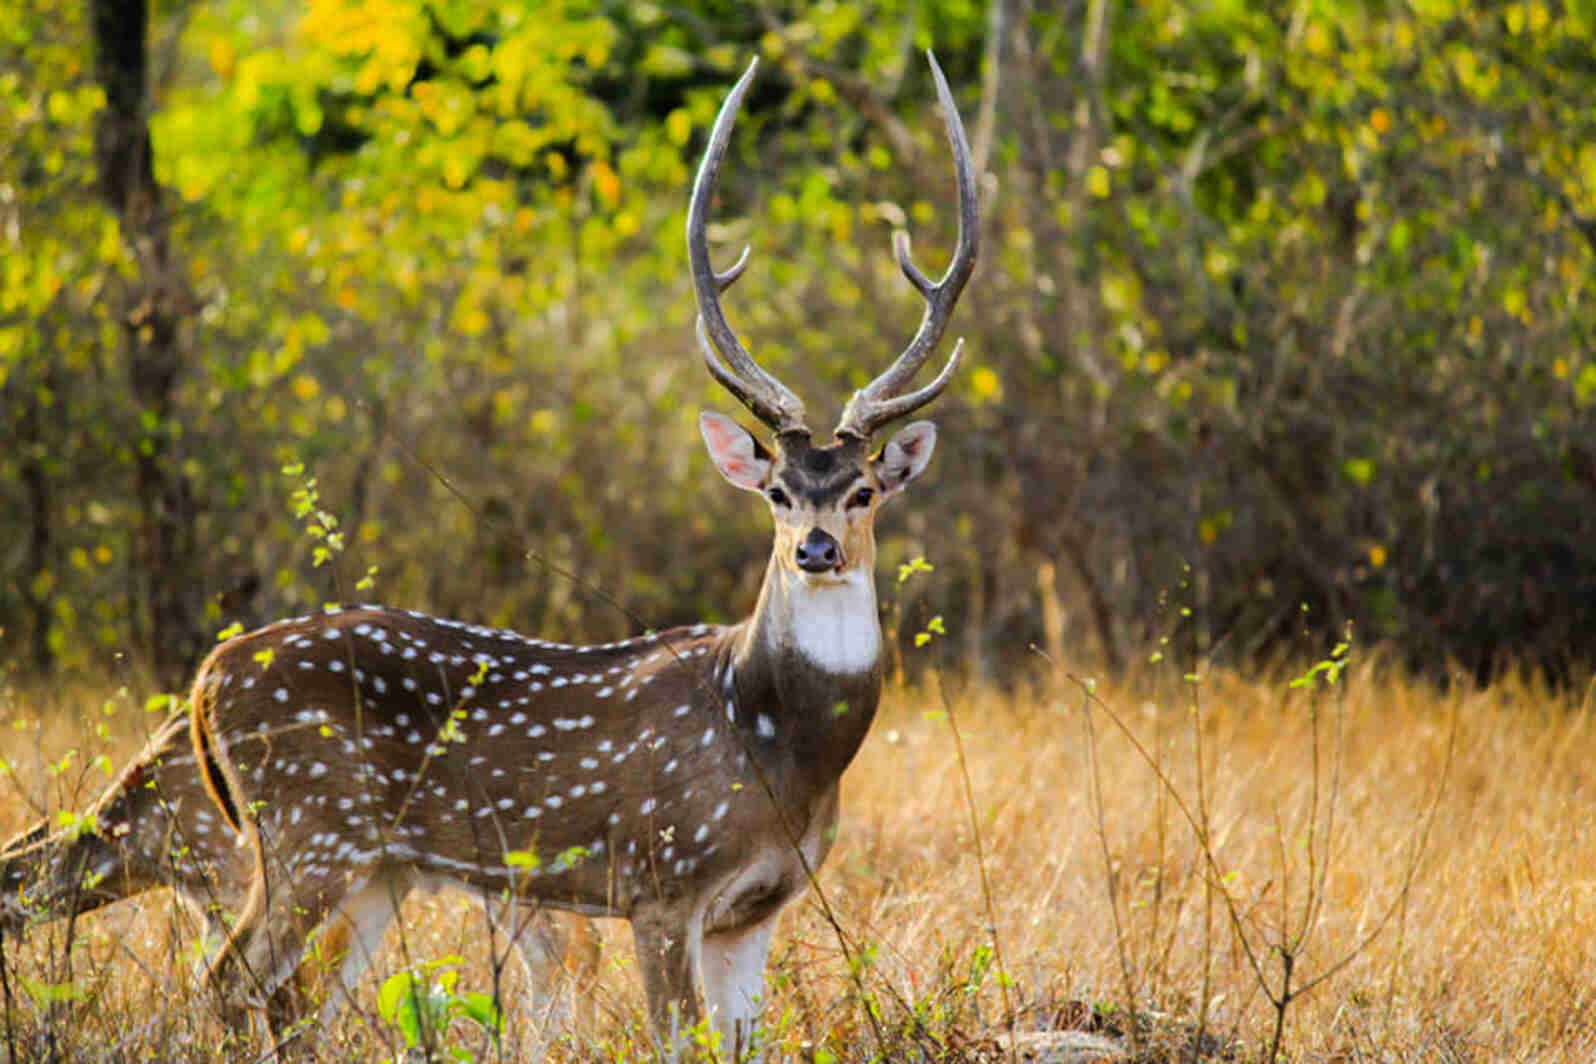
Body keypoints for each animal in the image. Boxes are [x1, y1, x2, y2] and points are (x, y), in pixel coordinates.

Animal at [0, 49, 970, 1059]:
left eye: (863, 491)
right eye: (777, 490)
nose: (816, 549)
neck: (775, 740)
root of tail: (204, 678)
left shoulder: (759, 907)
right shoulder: (660, 878)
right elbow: (671, 1035)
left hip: (369, 864)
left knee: (281, 994)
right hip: (306, 829)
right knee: (229, 978)